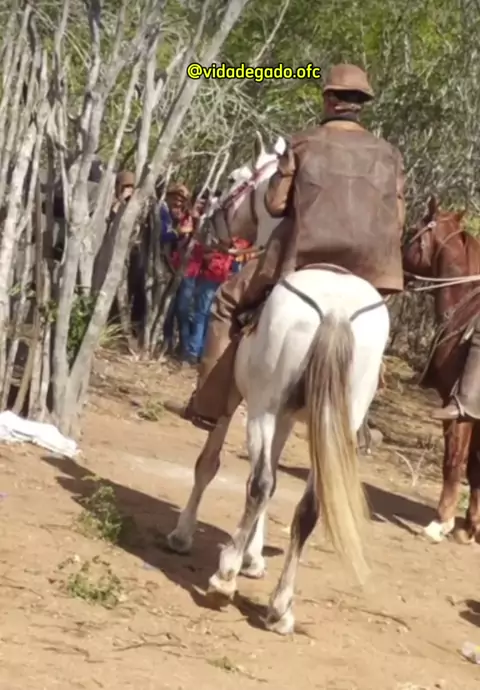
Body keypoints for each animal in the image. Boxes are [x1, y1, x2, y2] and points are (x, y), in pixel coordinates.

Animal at [166, 135, 390, 635]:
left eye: (235, 179)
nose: (210, 222)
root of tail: (336, 309)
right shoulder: (288, 417)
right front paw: (253, 557)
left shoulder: (239, 402)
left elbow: (210, 465)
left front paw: (188, 536)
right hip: (328, 425)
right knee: (308, 507)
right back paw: (280, 606)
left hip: (262, 410)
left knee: (261, 483)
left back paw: (224, 578)